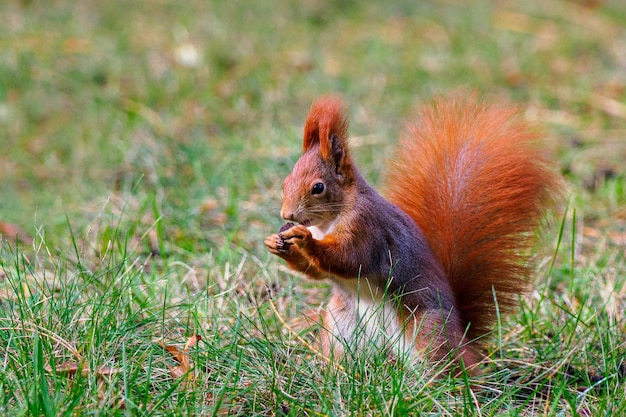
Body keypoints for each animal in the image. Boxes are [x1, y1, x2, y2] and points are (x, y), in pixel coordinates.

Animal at [264, 95, 560, 374]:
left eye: (318, 187)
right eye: (285, 182)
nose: (287, 215)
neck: (327, 222)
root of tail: (463, 335)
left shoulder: (367, 229)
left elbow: (350, 259)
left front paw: (305, 240)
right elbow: (317, 272)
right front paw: (276, 244)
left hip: (428, 332)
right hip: (342, 326)